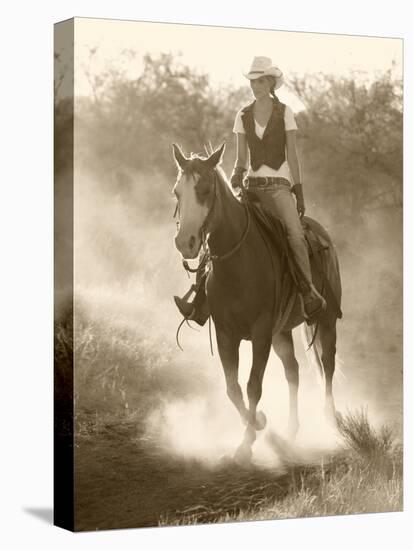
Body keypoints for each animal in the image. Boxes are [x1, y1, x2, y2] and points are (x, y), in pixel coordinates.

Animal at [171, 141, 342, 462]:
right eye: (177, 191)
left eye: (205, 190)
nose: (185, 242)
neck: (239, 261)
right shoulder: (226, 334)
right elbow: (233, 388)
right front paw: (258, 425)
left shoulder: (261, 333)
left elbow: (253, 386)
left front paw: (247, 441)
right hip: (282, 332)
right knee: (293, 371)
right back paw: (290, 431)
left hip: (325, 322)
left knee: (327, 364)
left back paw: (330, 420)